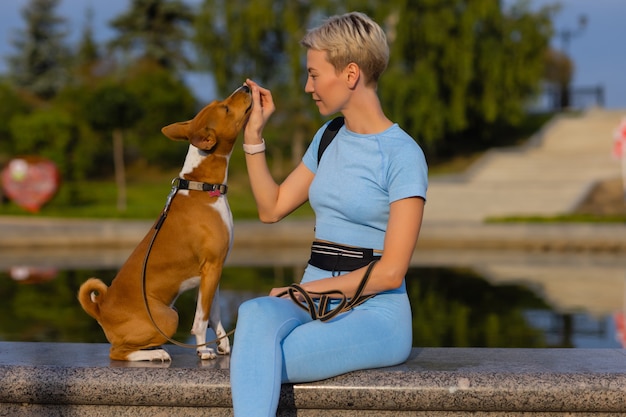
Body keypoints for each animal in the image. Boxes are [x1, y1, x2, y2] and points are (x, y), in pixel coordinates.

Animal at [77, 85, 251, 360]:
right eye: (225, 108)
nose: (245, 86)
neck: (202, 186)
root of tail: (101, 309)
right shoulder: (211, 267)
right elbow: (200, 320)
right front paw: (203, 350)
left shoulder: (215, 270)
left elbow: (214, 313)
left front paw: (223, 344)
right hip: (169, 316)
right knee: (118, 352)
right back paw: (156, 353)